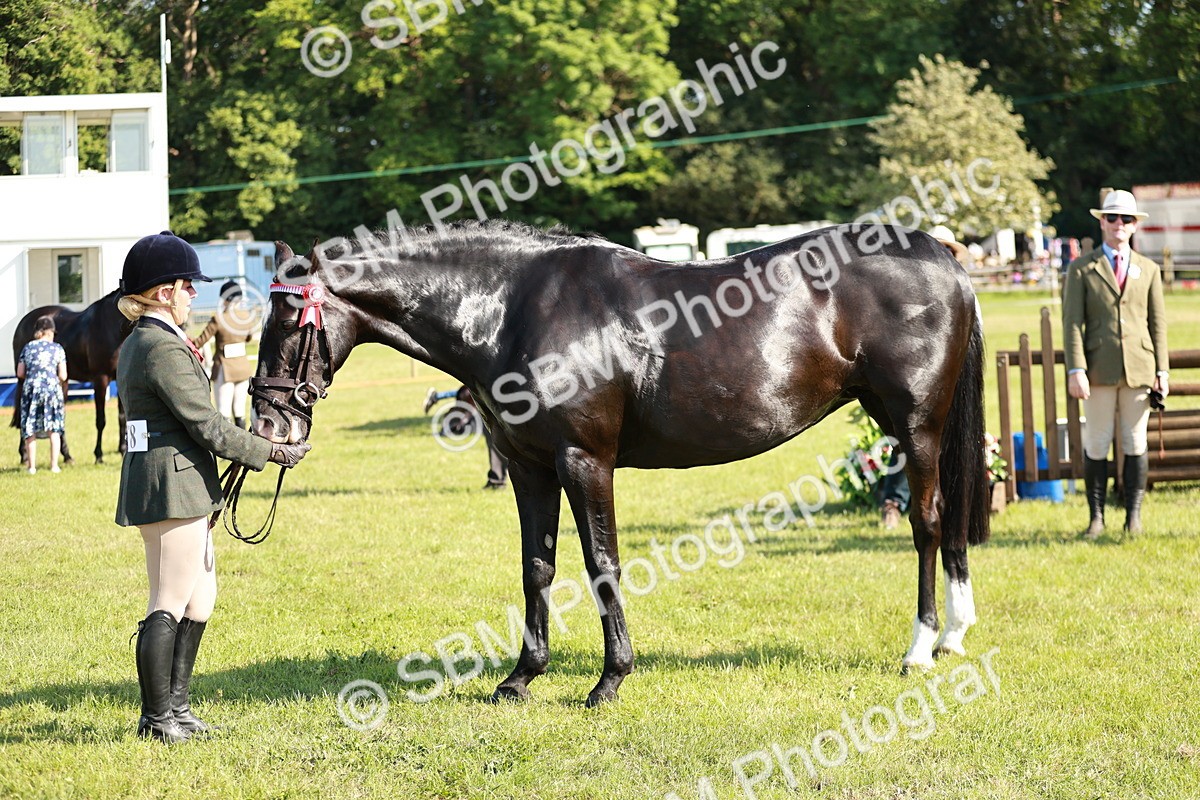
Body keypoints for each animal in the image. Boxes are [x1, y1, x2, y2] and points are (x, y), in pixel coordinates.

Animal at [10, 289, 132, 464]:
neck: (112, 329)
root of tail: (23, 322)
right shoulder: (100, 380)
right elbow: (101, 420)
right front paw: (99, 455)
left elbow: (122, 418)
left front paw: (123, 450)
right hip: (24, 380)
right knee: (23, 413)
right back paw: (25, 456)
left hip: (62, 382)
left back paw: (67, 456)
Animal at [251, 220, 990, 707]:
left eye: (287, 324)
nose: (266, 422)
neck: (514, 308)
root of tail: (942, 255)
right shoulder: (529, 468)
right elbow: (537, 567)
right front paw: (522, 676)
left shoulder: (585, 462)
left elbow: (601, 564)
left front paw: (609, 680)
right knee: (951, 516)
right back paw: (953, 636)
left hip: (916, 425)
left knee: (928, 521)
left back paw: (921, 647)